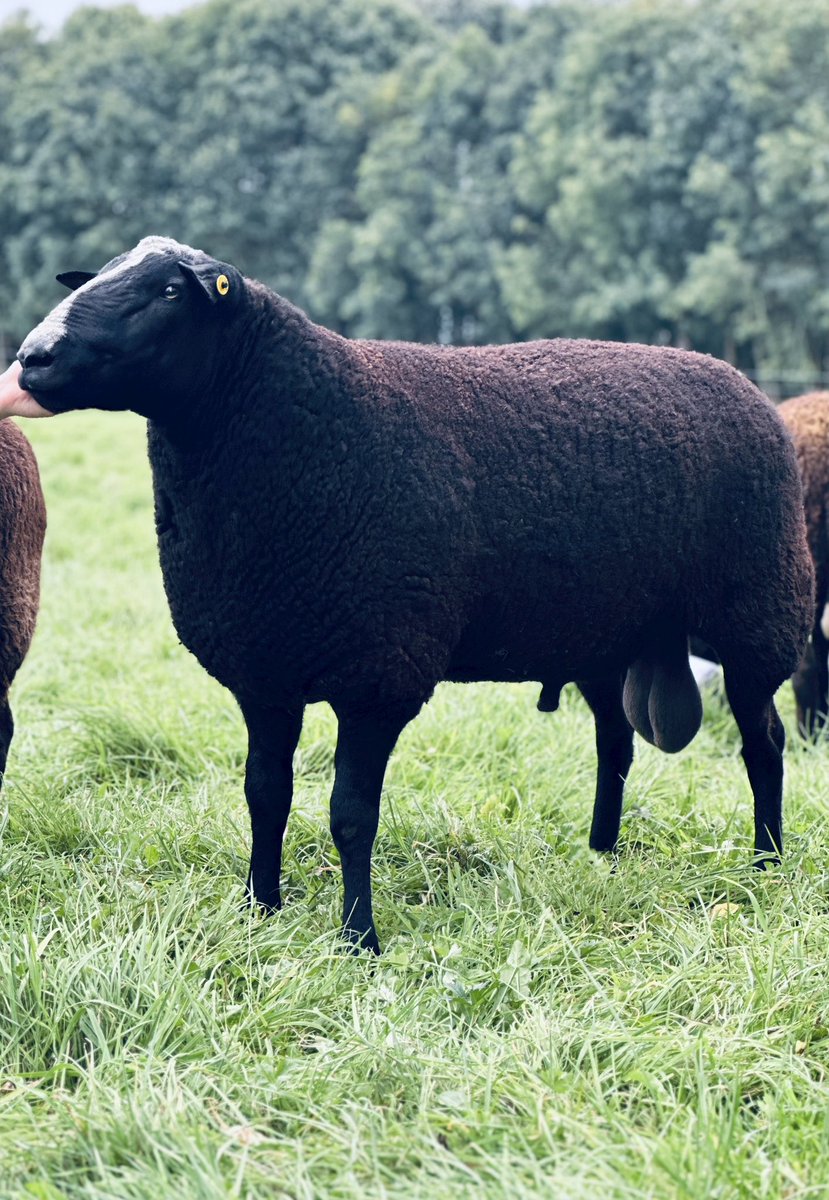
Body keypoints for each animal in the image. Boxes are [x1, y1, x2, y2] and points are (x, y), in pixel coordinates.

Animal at [7, 236, 813, 952]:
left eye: (171, 290)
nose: (31, 358)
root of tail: (742, 382)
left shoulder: (378, 673)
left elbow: (350, 816)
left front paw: (357, 938)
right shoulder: (265, 670)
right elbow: (265, 795)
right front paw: (259, 909)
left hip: (760, 612)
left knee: (764, 743)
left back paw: (766, 864)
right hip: (602, 632)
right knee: (614, 742)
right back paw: (600, 851)